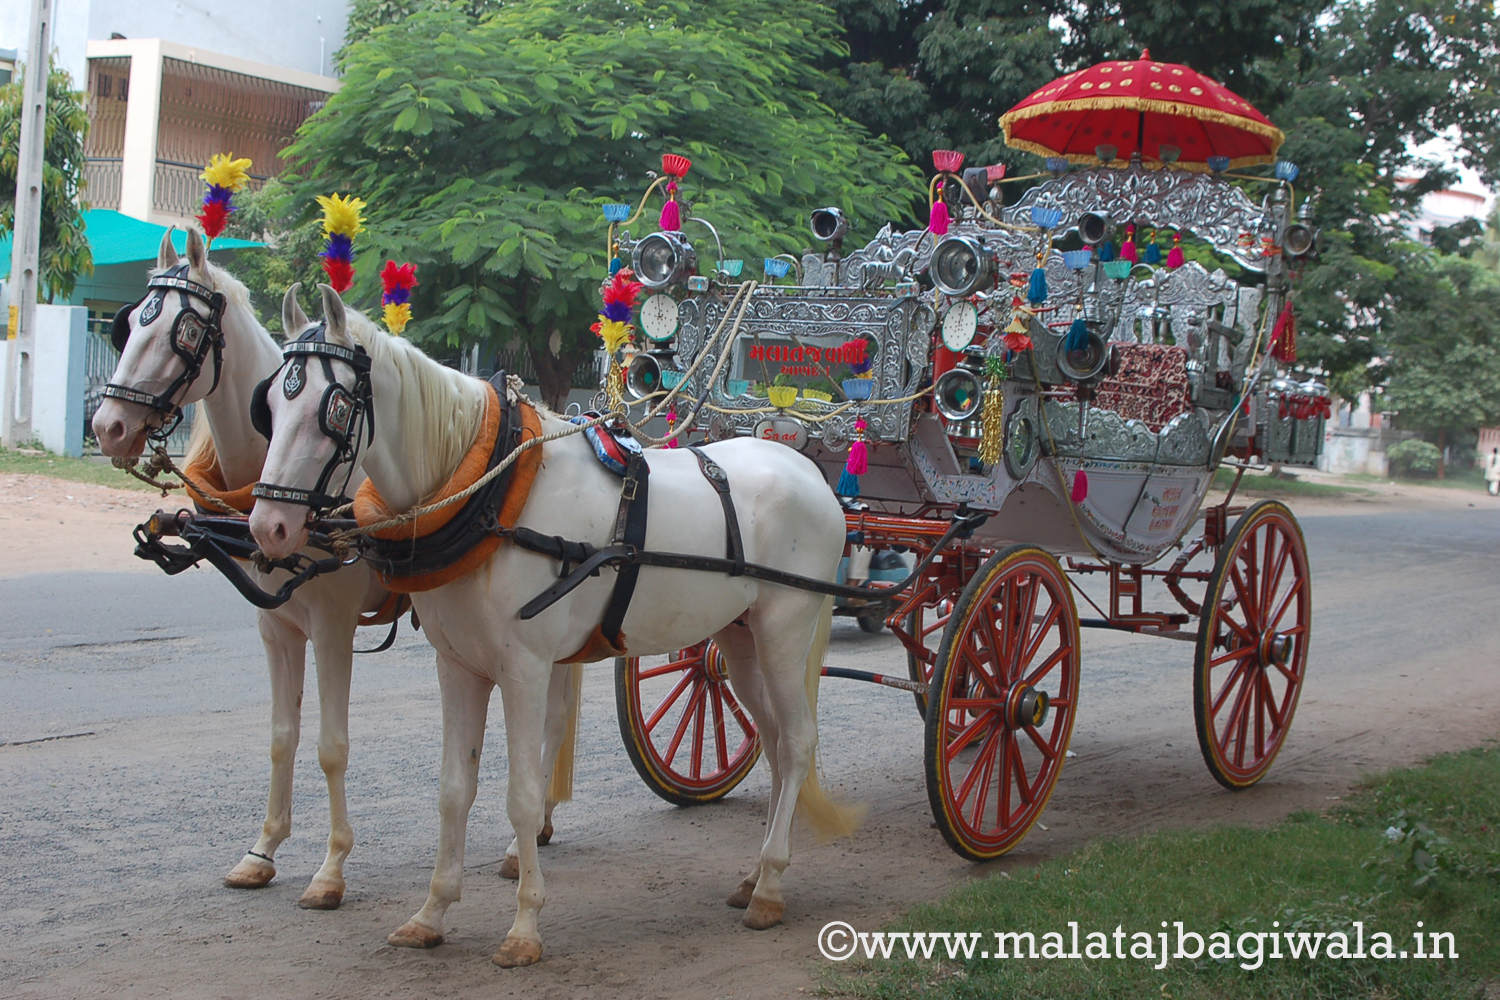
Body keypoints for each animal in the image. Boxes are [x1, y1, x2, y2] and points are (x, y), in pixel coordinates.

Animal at [90, 230, 577, 908]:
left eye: (183, 332)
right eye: (130, 323)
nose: (108, 426)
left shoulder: (332, 625)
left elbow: (331, 746)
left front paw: (331, 868)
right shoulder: (275, 628)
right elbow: (281, 736)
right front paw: (262, 850)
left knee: (553, 717)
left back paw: (518, 844)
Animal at [247, 284, 859, 966]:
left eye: (332, 407)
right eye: (269, 404)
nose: (267, 527)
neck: (490, 495)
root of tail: (809, 473)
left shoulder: (524, 669)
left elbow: (519, 795)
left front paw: (524, 927)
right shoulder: (457, 667)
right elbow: (453, 790)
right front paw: (431, 912)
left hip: (784, 630)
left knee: (798, 741)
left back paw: (771, 887)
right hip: (738, 636)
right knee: (775, 743)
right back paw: (753, 874)